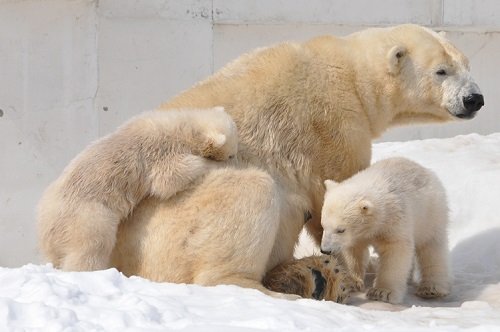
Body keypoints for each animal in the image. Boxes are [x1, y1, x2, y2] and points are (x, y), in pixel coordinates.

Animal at [110, 24, 484, 296]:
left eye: (466, 64)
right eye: (441, 71)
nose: (475, 99)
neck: (351, 74)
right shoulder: (333, 126)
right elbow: (333, 195)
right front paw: (361, 272)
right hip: (174, 222)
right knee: (253, 193)